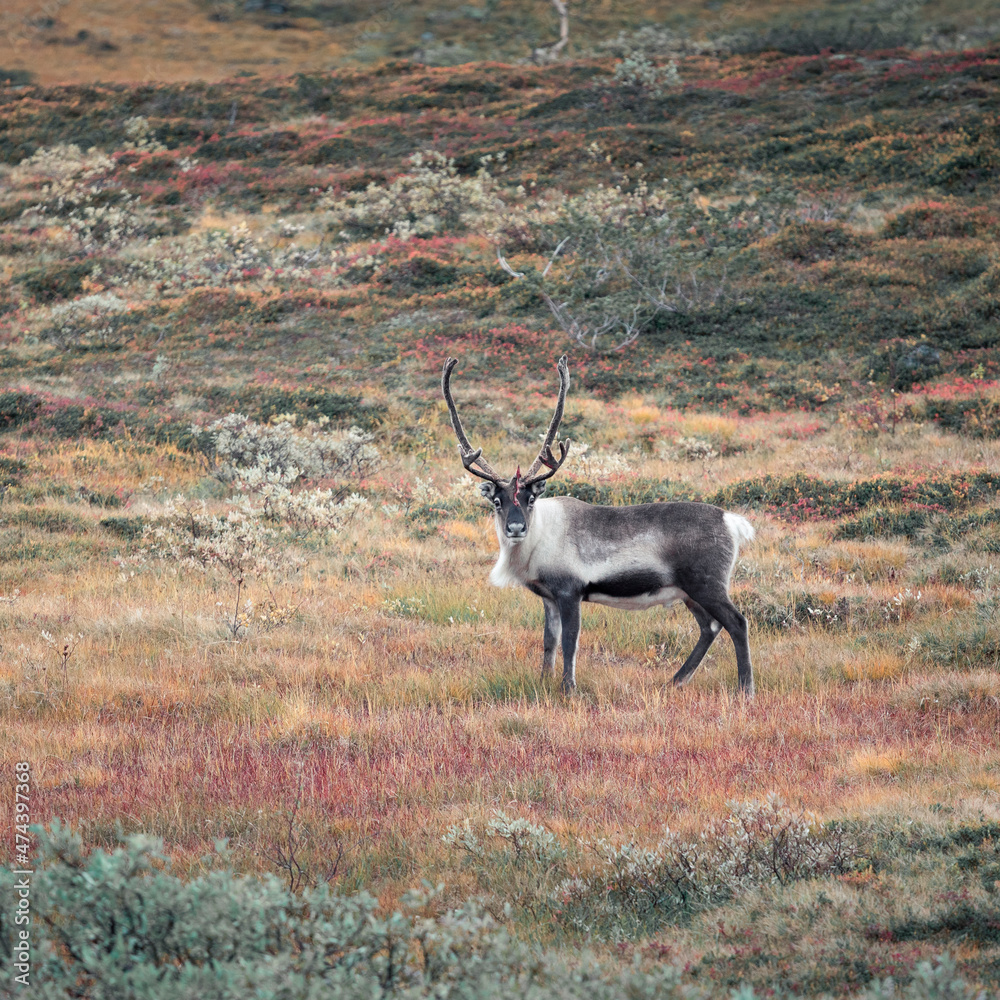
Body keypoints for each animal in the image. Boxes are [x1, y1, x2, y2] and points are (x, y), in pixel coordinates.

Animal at [442, 355, 756, 696]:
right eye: (497, 501)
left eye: (530, 499)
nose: (515, 528)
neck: (537, 541)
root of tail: (731, 521)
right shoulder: (549, 597)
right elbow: (549, 642)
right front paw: (543, 682)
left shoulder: (570, 591)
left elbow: (570, 642)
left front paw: (568, 689)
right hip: (688, 592)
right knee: (709, 627)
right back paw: (674, 680)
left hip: (707, 584)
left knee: (736, 622)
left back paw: (745, 688)